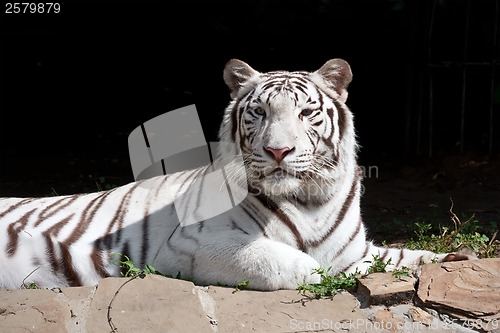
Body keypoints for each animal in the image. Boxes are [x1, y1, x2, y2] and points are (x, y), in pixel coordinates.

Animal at [0, 58, 468, 290]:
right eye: (259, 112)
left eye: (306, 112)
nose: (278, 150)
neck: (311, 199)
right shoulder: (192, 245)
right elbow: (297, 265)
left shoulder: (354, 249)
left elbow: (404, 255)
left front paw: (457, 260)